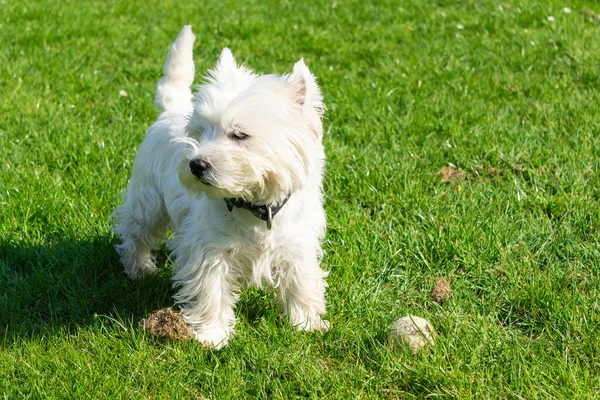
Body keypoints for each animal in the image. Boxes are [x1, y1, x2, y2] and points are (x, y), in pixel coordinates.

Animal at [110, 26, 330, 348]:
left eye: (240, 134)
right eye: (199, 132)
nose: (196, 165)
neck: (254, 205)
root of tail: (170, 110)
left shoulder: (296, 244)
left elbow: (301, 282)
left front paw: (306, 323)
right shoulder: (211, 250)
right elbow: (212, 290)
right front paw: (212, 335)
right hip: (149, 201)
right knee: (135, 231)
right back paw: (139, 268)